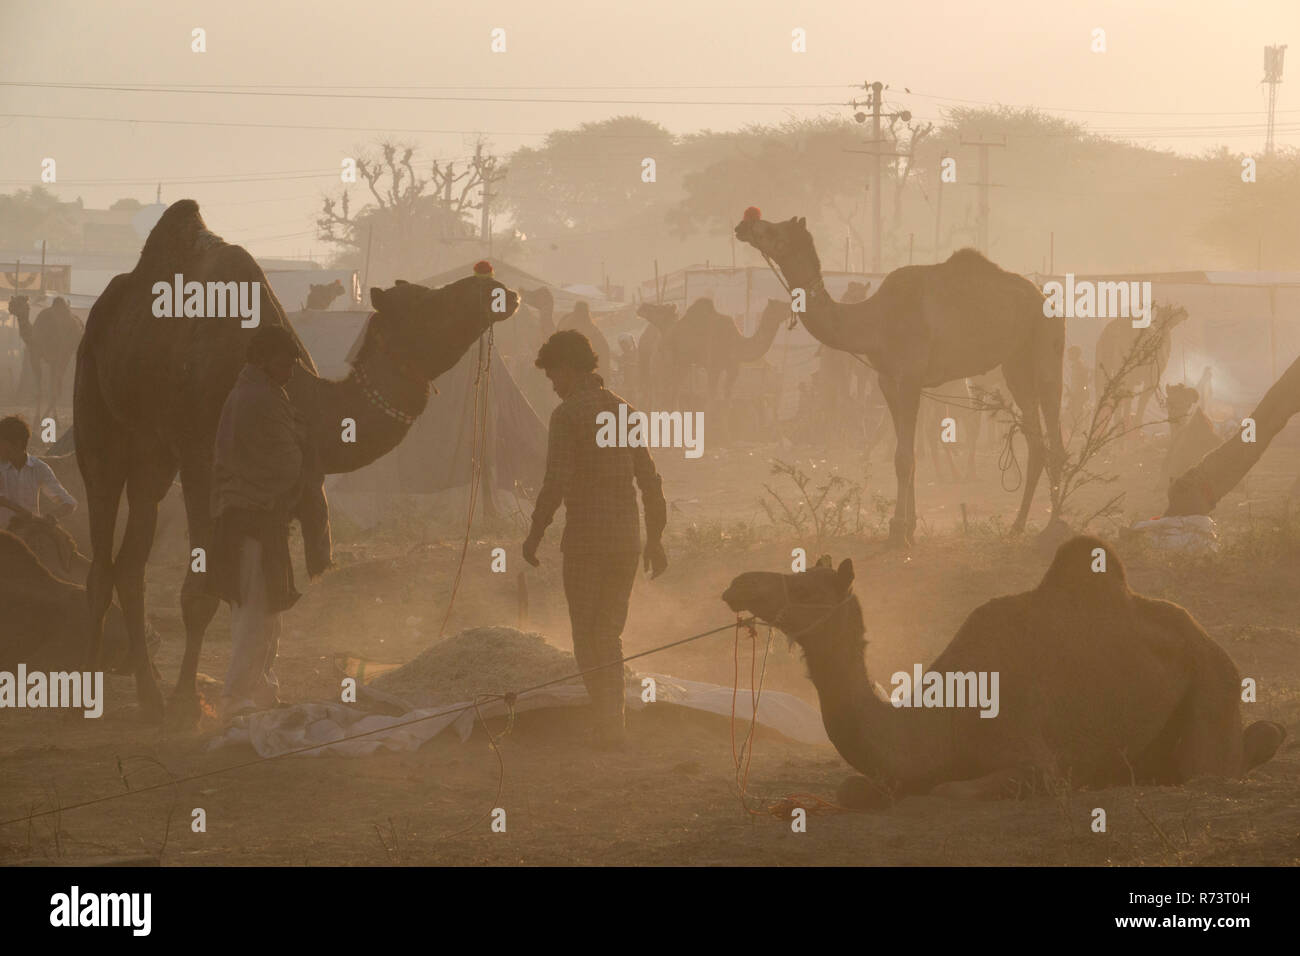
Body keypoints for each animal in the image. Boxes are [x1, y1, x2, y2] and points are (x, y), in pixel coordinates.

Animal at [77, 201, 517, 723]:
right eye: (431, 302)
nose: (500, 289)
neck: (302, 396)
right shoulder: (203, 463)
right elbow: (201, 592)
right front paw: (187, 703)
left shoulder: (284, 485)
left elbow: (269, 596)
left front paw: (258, 695)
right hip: (100, 420)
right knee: (101, 549)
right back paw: (89, 694)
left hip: (153, 454)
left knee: (130, 563)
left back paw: (148, 693)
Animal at [728, 538, 1284, 806]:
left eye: (804, 588)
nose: (737, 584)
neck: (941, 720)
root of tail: (1209, 638)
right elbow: (854, 788)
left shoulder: (1032, 758)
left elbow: (949, 790)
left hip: (1213, 685)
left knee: (1215, 763)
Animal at [738, 214, 1060, 548]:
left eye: (775, 231)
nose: (745, 224)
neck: (874, 321)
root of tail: (1044, 298)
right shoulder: (888, 381)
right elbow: (907, 454)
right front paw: (909, 527)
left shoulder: (910, 377)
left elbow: (904, 456)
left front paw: (898, 531)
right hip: (1016, 362)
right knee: (1037, 442)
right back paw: (1018, 526)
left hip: (1046, 344)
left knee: (1055, 434)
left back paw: (1053, 526)